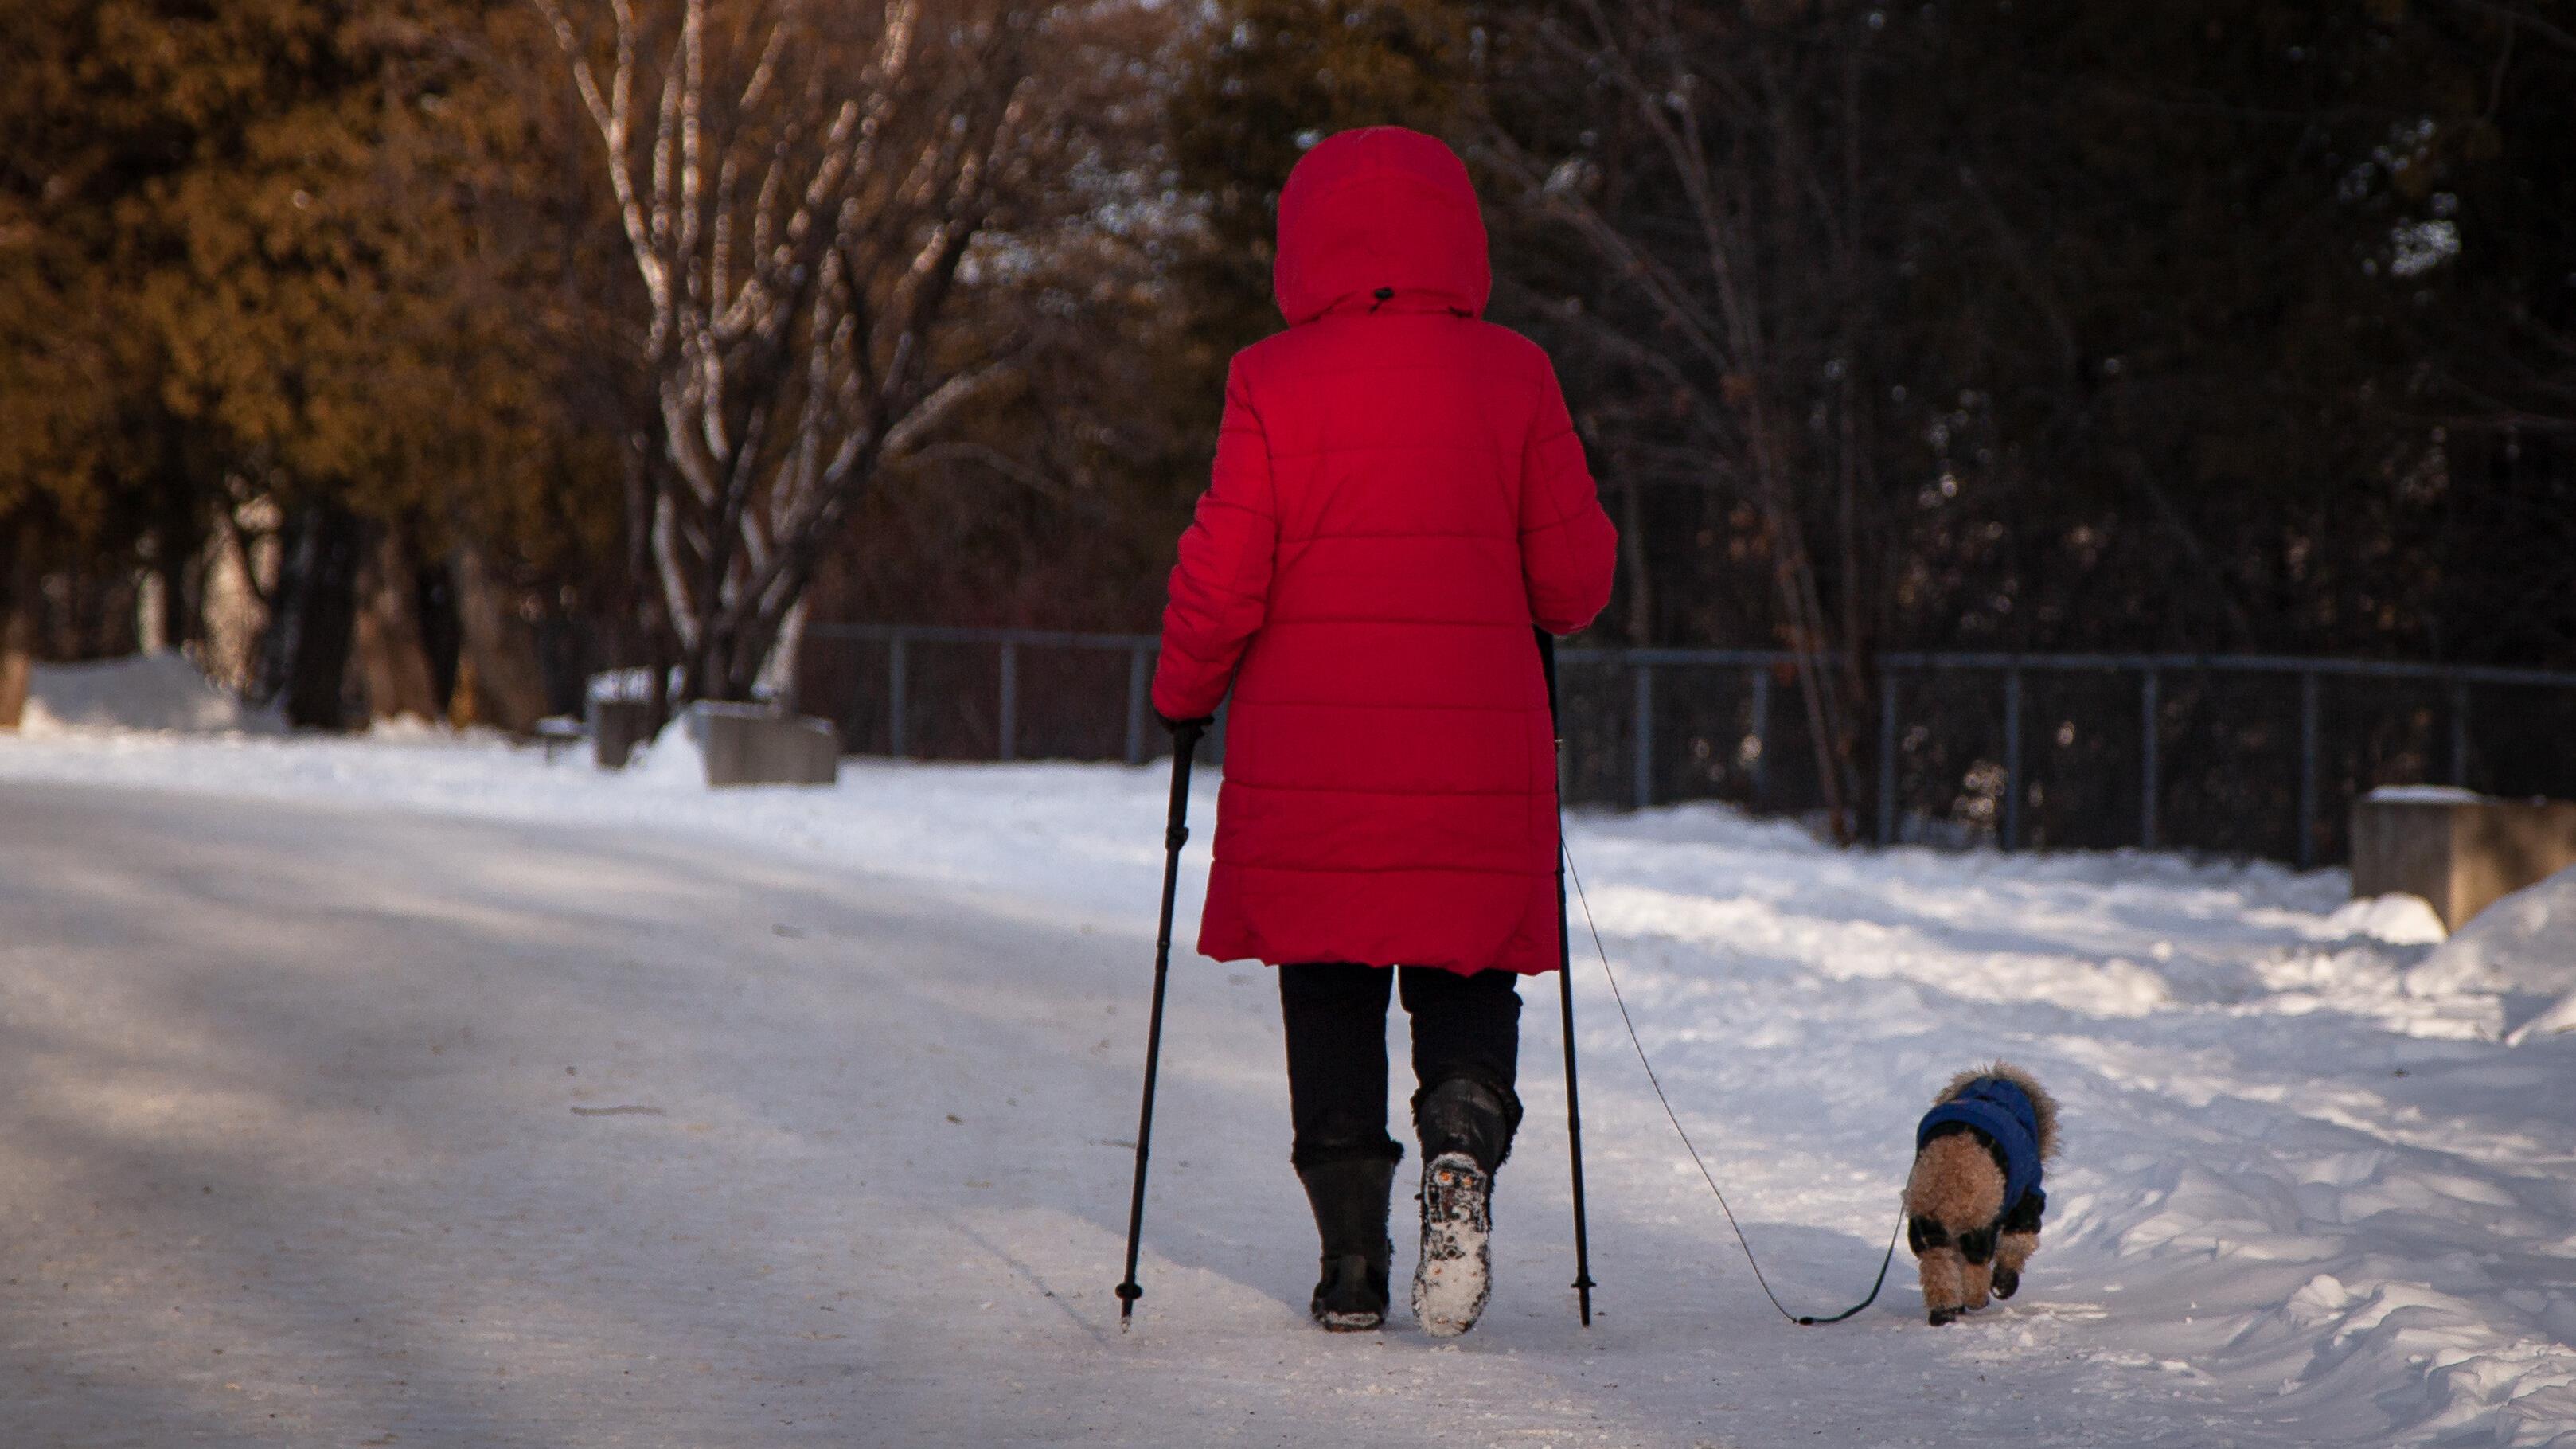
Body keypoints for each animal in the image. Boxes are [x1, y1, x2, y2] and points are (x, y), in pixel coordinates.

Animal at [1906, 1062, 2060, 1320]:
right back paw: (1976, 1299)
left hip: (1928, 1227)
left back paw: (1944, 1311)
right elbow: (2018, 1243)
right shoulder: (2026, 1199)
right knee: (1974, 1268)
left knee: (1939, 1267)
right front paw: (2004, 1284)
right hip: (1979, 1224)